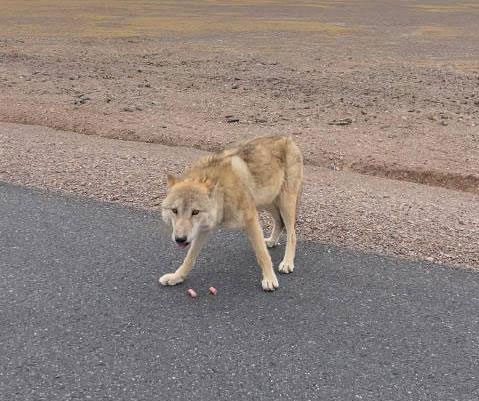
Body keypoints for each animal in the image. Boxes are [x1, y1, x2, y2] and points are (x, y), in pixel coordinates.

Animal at [160, 135, 304, 290]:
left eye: (195, 212)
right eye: (175, 210)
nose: (180, 239)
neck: (222, 193)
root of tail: (287, 138)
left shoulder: (250, 218)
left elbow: (262, 254)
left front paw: (269, 279)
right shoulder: (204, 228)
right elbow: (189, 257)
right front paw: (176, 277)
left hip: (285, 203)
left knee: (292, 234)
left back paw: (287, 262)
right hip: (267, 201)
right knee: (279, 222)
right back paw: (271, 241)